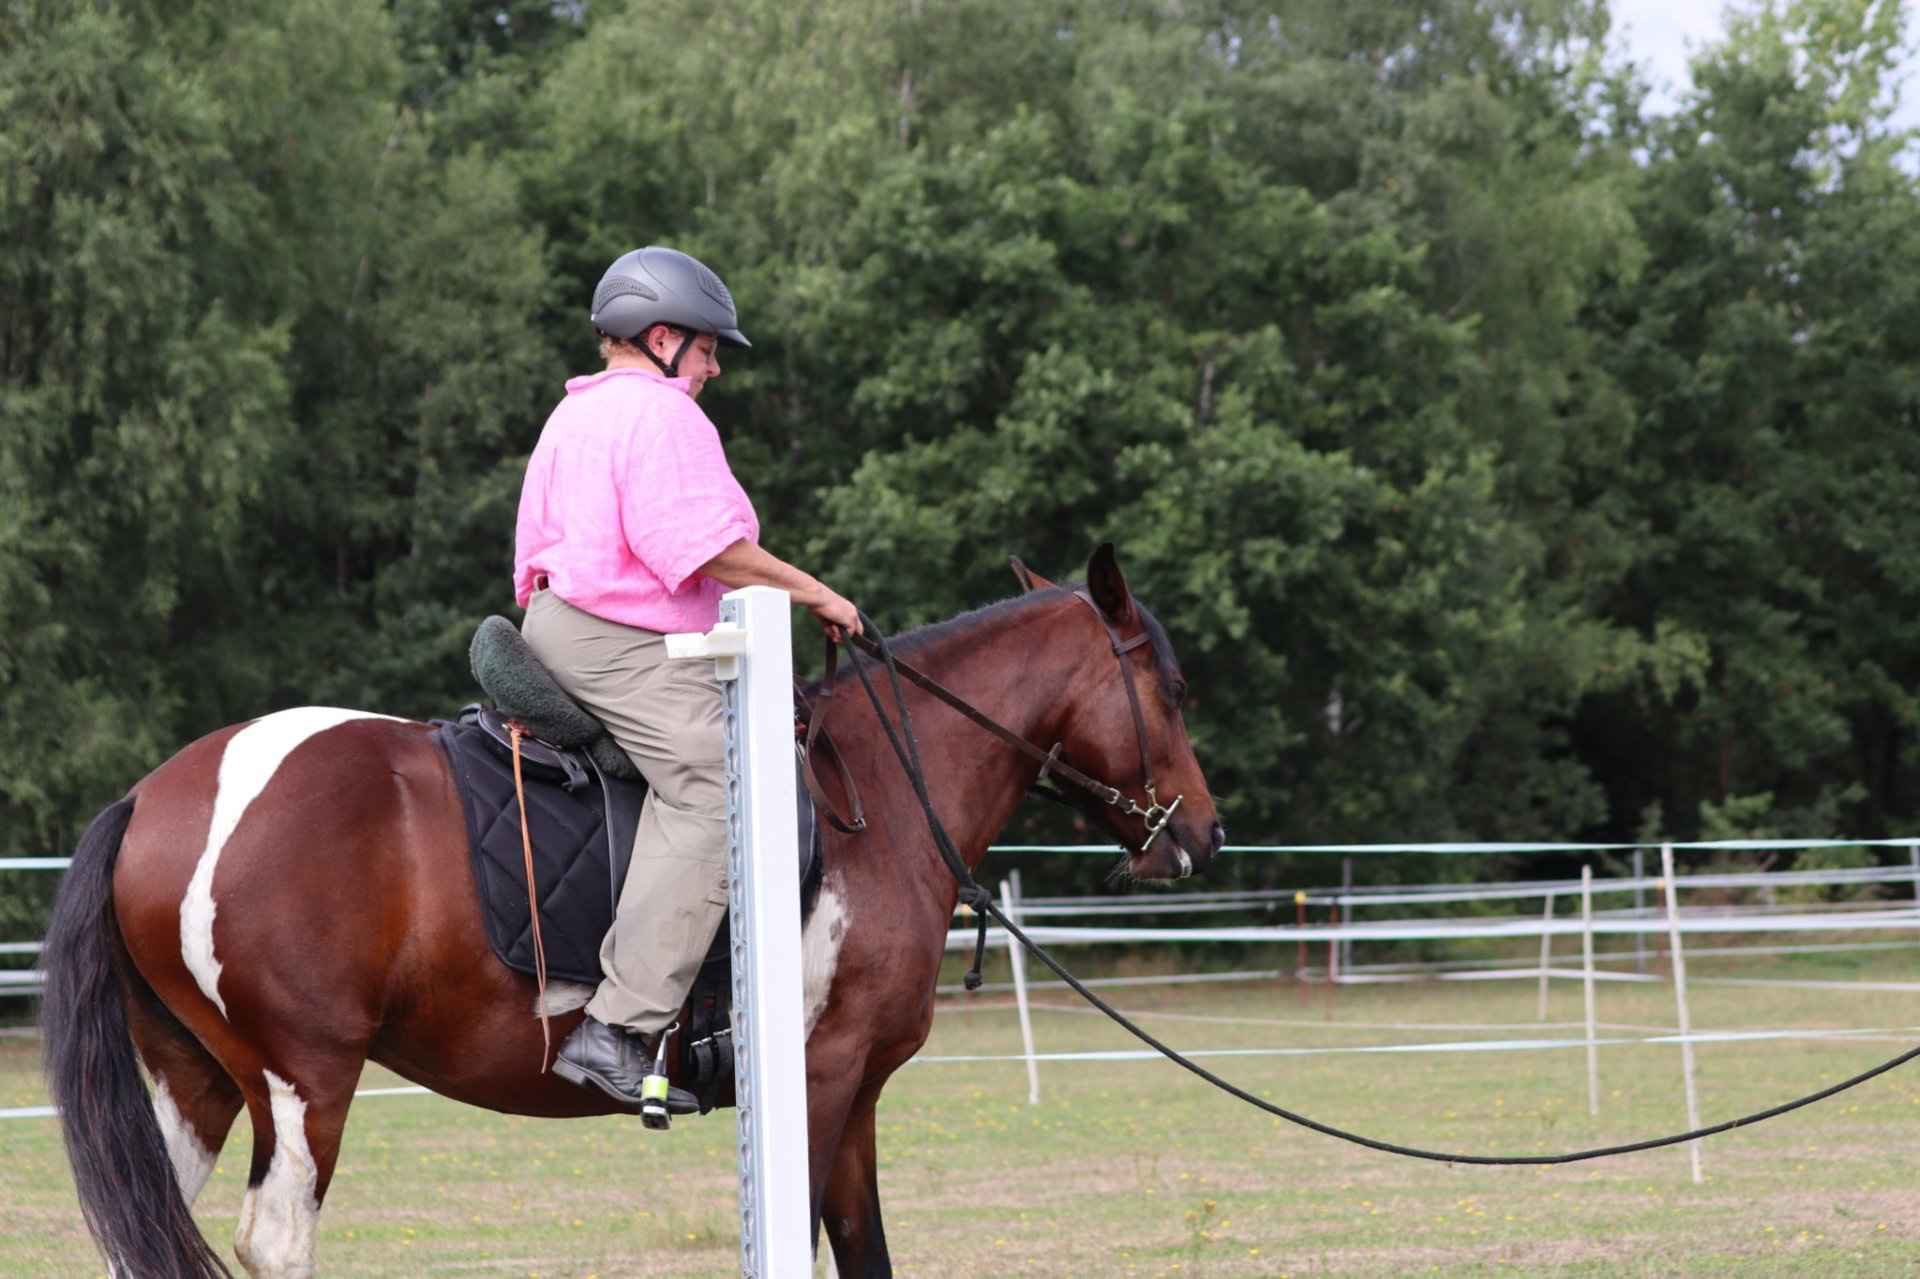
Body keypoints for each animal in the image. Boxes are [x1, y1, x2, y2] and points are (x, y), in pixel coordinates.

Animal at [41, 545, 1213, 1275]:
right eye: (1171, 686)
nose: (1201, 831)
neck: (873, 793)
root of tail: (155, 796)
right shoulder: (820, 1080)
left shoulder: (855, 1101)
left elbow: (868, 1251)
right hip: (303, 1082)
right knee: (278, 1242)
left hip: (193, 1081)